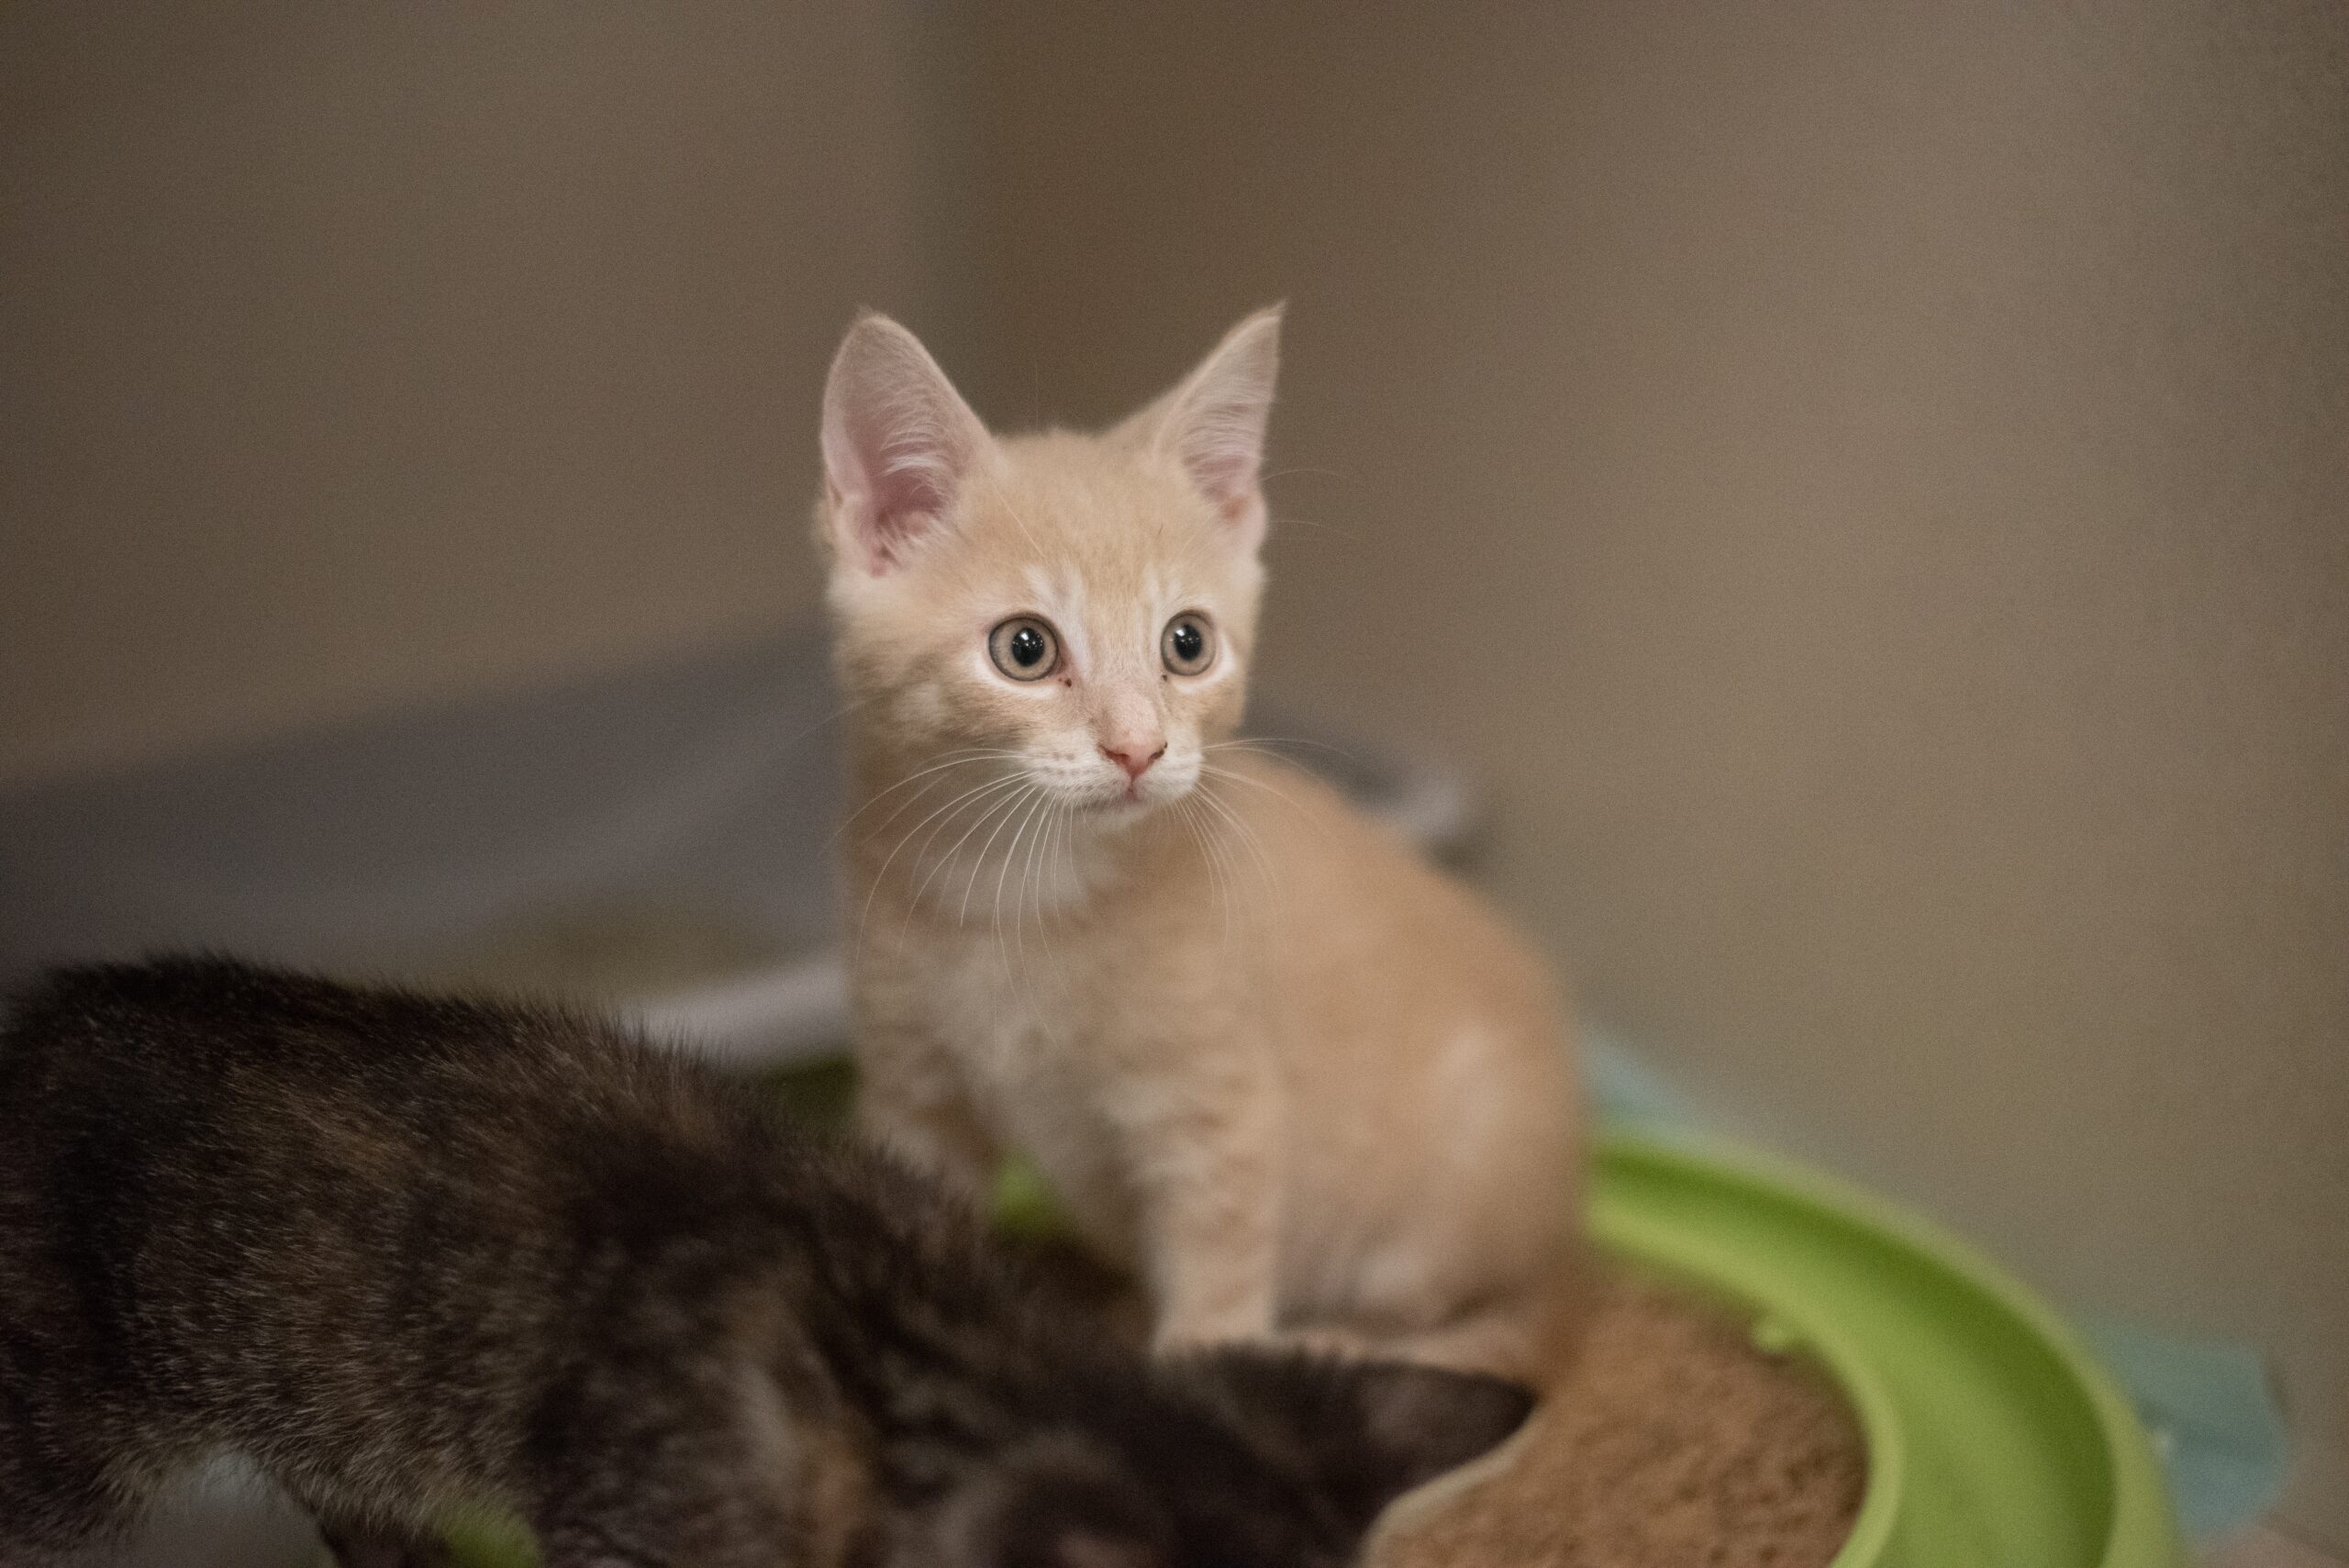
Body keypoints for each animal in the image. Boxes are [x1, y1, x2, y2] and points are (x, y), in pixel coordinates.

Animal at [817, 309, 1587, 1380]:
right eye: (1025, 648)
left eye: (1187, 643)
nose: (1139, 748)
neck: (1017, 894)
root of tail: (1571, 1235)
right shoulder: (912, 1093)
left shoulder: (1220, 1109)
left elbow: (1217, 1280)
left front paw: (1205, 1380)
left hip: (1442, 1208)